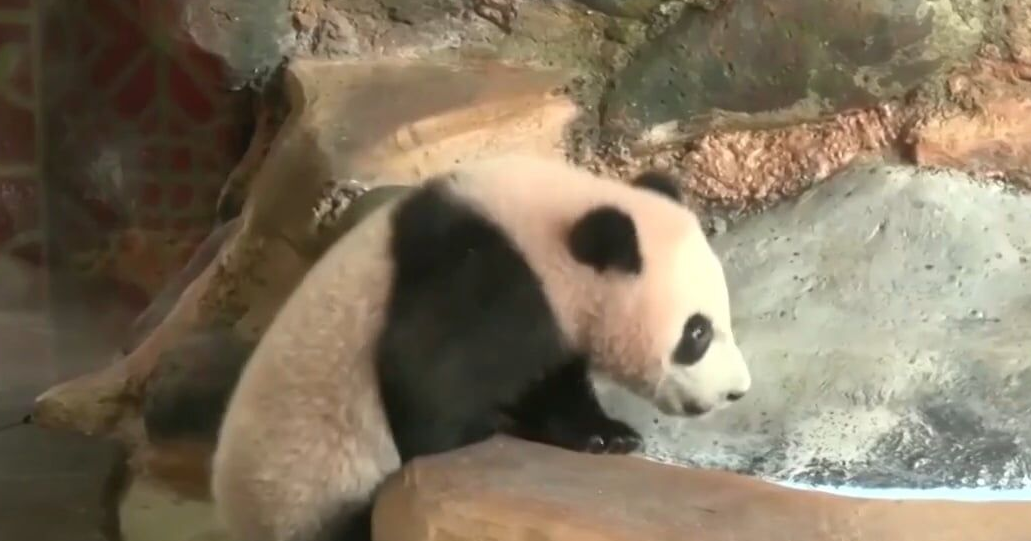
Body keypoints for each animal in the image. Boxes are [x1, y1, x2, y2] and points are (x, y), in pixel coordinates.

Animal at [210, 155, 751, 541]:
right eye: (697, 333)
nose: (737, 392)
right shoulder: (475, 280)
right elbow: (430, 388)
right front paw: (484, 432)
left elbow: (548, 382)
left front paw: (607, 435)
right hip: (308, 497)